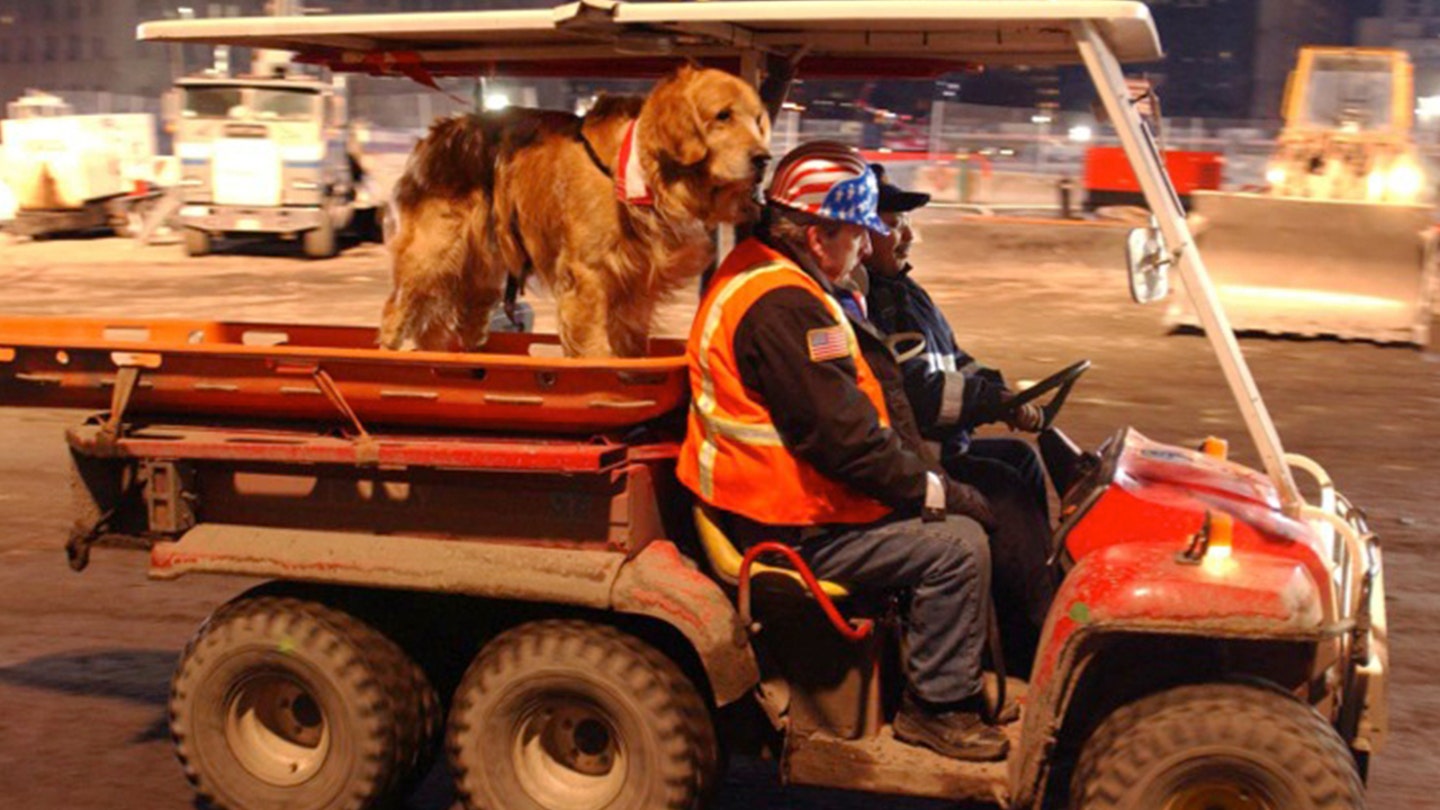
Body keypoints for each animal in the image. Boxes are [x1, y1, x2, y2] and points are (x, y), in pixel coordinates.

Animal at [377, 67, 771, 357]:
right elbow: (596, 351)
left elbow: (630, 347)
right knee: (396, 312)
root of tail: (433, 136)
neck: (643, 171)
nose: (764, 158)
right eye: (722, 115)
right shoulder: (588, 276)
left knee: (457, 325)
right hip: (432, 254)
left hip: (480, 273)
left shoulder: (636, 284)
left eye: (758, 121)